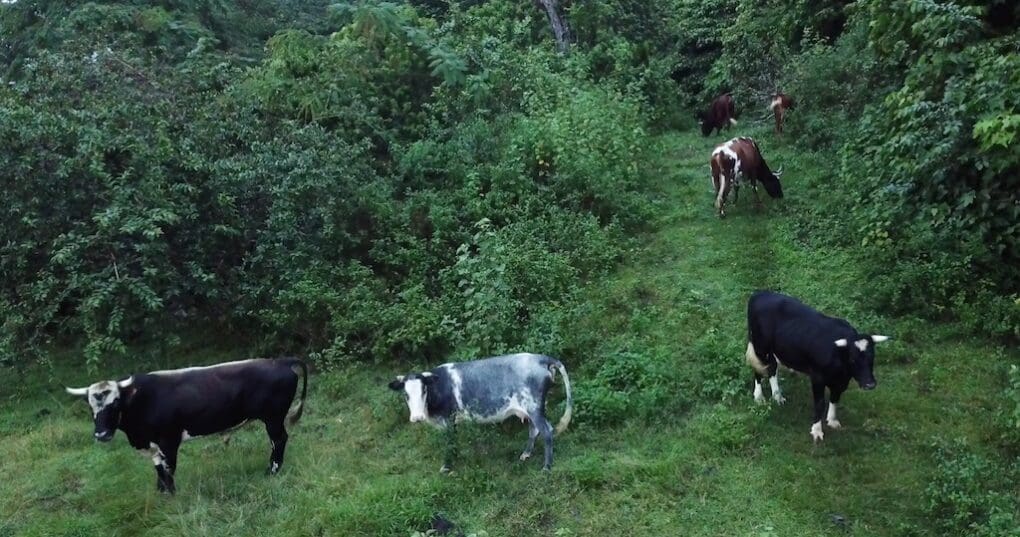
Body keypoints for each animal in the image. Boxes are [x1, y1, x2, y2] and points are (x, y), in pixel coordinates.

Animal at [65, 358, 308, 494]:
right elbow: (158, 470)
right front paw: (160, 493)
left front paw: (172, 496)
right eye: (90, 406)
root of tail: (280, 360)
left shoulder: (169, 441)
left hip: (273, 418)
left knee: (279, 440)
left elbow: (168, 470)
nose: (101, 434)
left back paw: (272, 471)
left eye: (115, 402)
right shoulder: (153, 445)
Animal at [388, 353, 572, 473]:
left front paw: (447, 466)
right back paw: (525, 454)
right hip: (531, 408)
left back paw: (546, 467)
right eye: (406, 394)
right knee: (534, 430)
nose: (417, 417)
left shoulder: (449, 417)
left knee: (547, 431)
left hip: (534, 407)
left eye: (424, 390)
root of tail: (541, 358)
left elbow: (449, 442)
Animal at [745, 291, 889, 442]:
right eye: (853, 359)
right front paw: (817, 430)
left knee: (772, 368)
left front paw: (832, 420)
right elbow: (819, 404)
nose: (870, 384)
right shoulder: (817, 378)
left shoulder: (842, 381)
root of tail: (759, 293)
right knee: (759, 369)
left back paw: (778, 397)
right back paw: (759, 397)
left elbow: (835, 398)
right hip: (760, 347)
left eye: (872, 357)